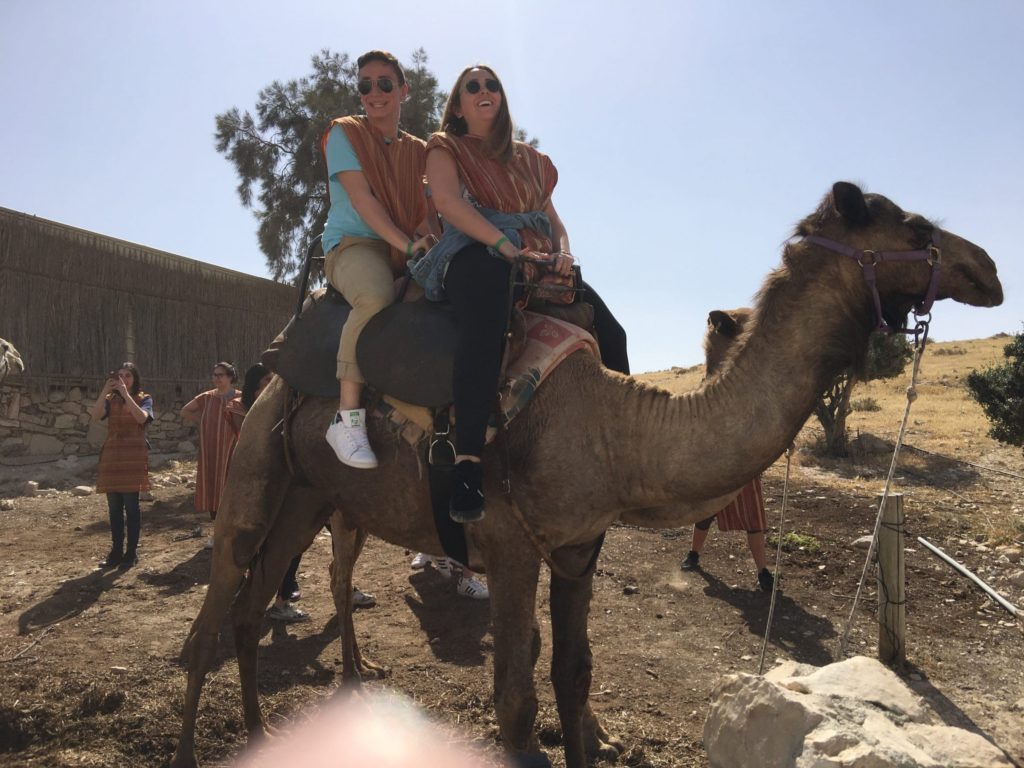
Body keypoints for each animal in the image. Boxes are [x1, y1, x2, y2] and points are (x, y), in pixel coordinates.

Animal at [169, 185, 999, 768]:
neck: (610, 426)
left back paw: (257, 735)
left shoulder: (577, 551)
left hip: (311, 493)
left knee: (252, 606)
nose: (988, 269)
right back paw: (188, 747)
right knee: (214, 613)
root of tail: (276, 357)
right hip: (254, 466)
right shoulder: (507, 547)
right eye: (915, 228)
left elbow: (573, 676)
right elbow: (514, 697)